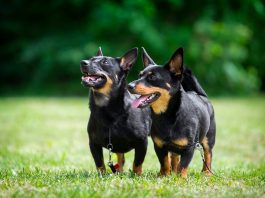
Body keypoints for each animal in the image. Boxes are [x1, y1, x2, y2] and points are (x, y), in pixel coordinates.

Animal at [127, 47, 214, 178]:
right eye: (139, 75)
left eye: (152, 77)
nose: (129, 85)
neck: (167, 116)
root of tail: (200, 95)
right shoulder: (159, 146)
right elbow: (164, 162)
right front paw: (164, 175)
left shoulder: (189, 148)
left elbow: (183, 166)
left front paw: (181, 179)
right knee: (174, 157)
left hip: (209, 139)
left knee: (208, 154)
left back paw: (206, 172)